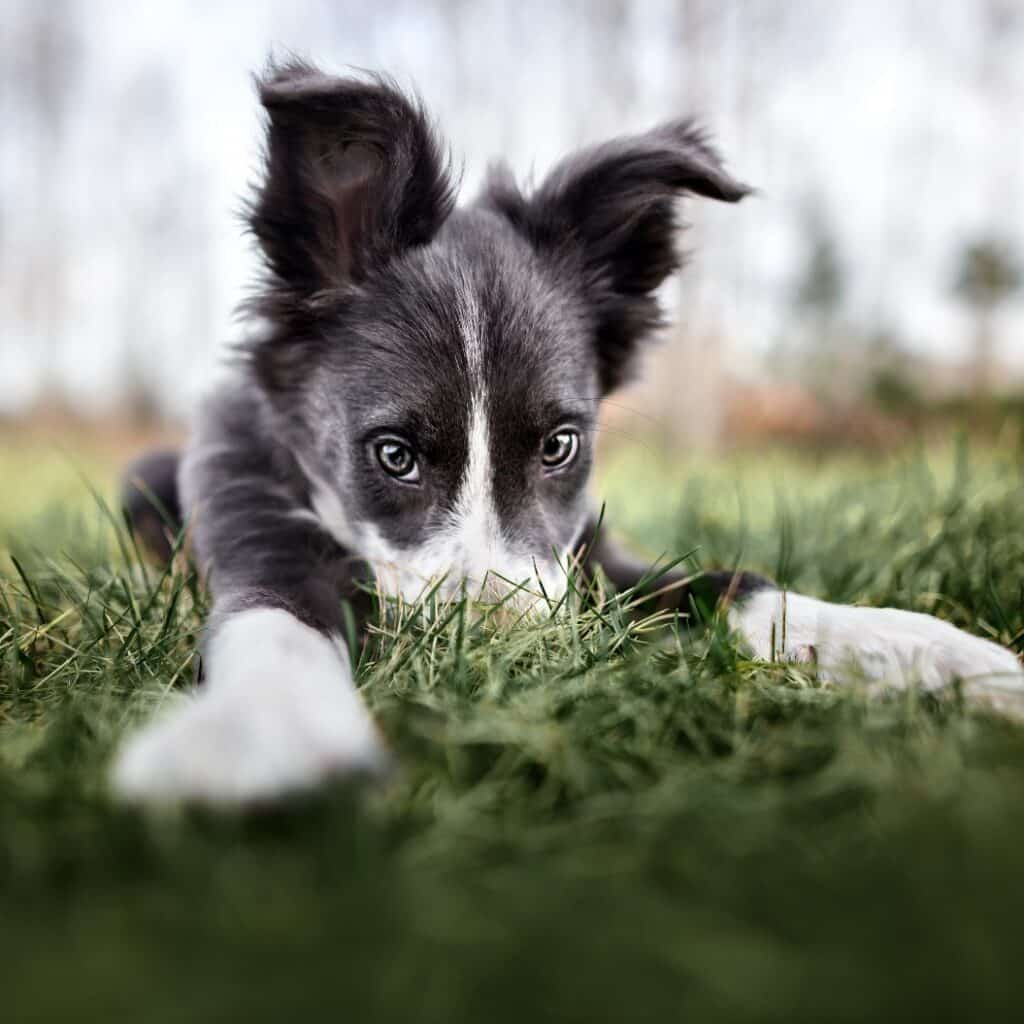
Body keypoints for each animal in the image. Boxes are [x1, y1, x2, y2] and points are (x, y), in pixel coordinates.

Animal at [112, 59, 1024, 802]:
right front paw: (258, 732)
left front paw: (945, 656)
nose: (506, 656)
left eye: (559, 445)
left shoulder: (590, 556)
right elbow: (277, 623)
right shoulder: (257, 530)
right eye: (394, 455)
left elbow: (736, 586)